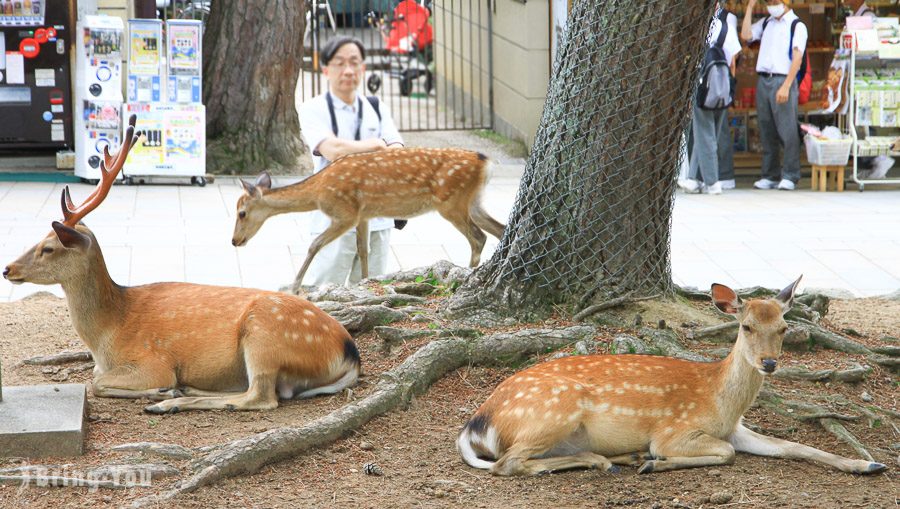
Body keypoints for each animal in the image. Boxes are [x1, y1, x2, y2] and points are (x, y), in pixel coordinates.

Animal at [4, 117, 362, 414]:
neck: (107, 336)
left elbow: (97, 383)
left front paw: (161, 391)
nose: (8, 269)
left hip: (265, 336)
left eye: (48, 247)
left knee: (261, 397)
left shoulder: (153, 360)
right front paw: (169, 391)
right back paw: (186, 390)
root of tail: (350, 353)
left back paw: (170, 401)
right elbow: (95, 377)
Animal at [230, 145, 506, 292]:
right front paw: (364, 282)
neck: (318, 192)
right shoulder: (363, 215)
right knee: (500, 229)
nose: (234, 240)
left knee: (478, 237)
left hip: (451, 202)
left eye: (241, 213)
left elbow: (314, 244)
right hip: (473, 202)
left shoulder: (345, 213)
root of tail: (487, 163)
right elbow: (363, 250)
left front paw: (294, 286)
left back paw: (468, 273)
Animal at [458, 276, 884, 474]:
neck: (720, 401)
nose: (769, 363)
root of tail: (476, 424)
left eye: (783, 327)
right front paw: (656, 461)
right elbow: (725, 453)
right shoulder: (674, 429)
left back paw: (620, 457)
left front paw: (867, 464)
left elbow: (793, 446)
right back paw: (611, 460)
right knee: (506, 463)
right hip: (553, 411)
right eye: (746, 326)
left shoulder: (736, 429)